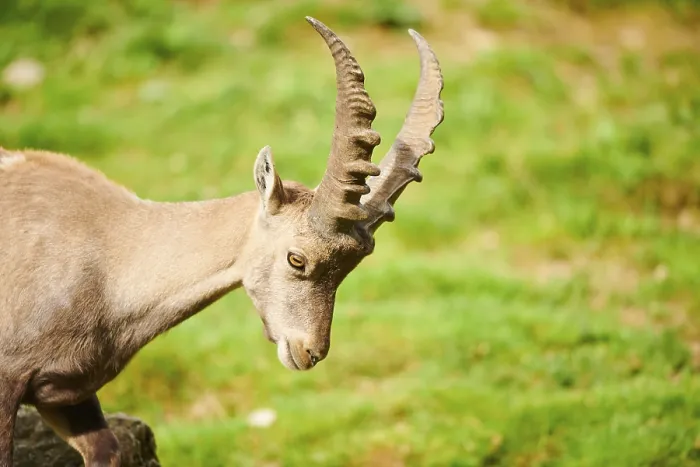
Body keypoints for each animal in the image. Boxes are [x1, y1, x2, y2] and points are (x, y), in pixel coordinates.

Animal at [0, 17, 443, 466]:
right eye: (296, 258)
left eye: (354, 262)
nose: (311, 352)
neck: (110, 256)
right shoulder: (8, 381)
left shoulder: (68, 396)